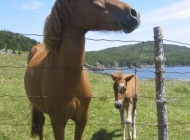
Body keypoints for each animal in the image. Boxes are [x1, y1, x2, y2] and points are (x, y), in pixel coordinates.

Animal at [23, 0, 140, 139]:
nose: (134, 14)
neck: (70, 81)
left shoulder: (82, 120)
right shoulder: (57, 123)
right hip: (39, 109)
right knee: (41, 124)